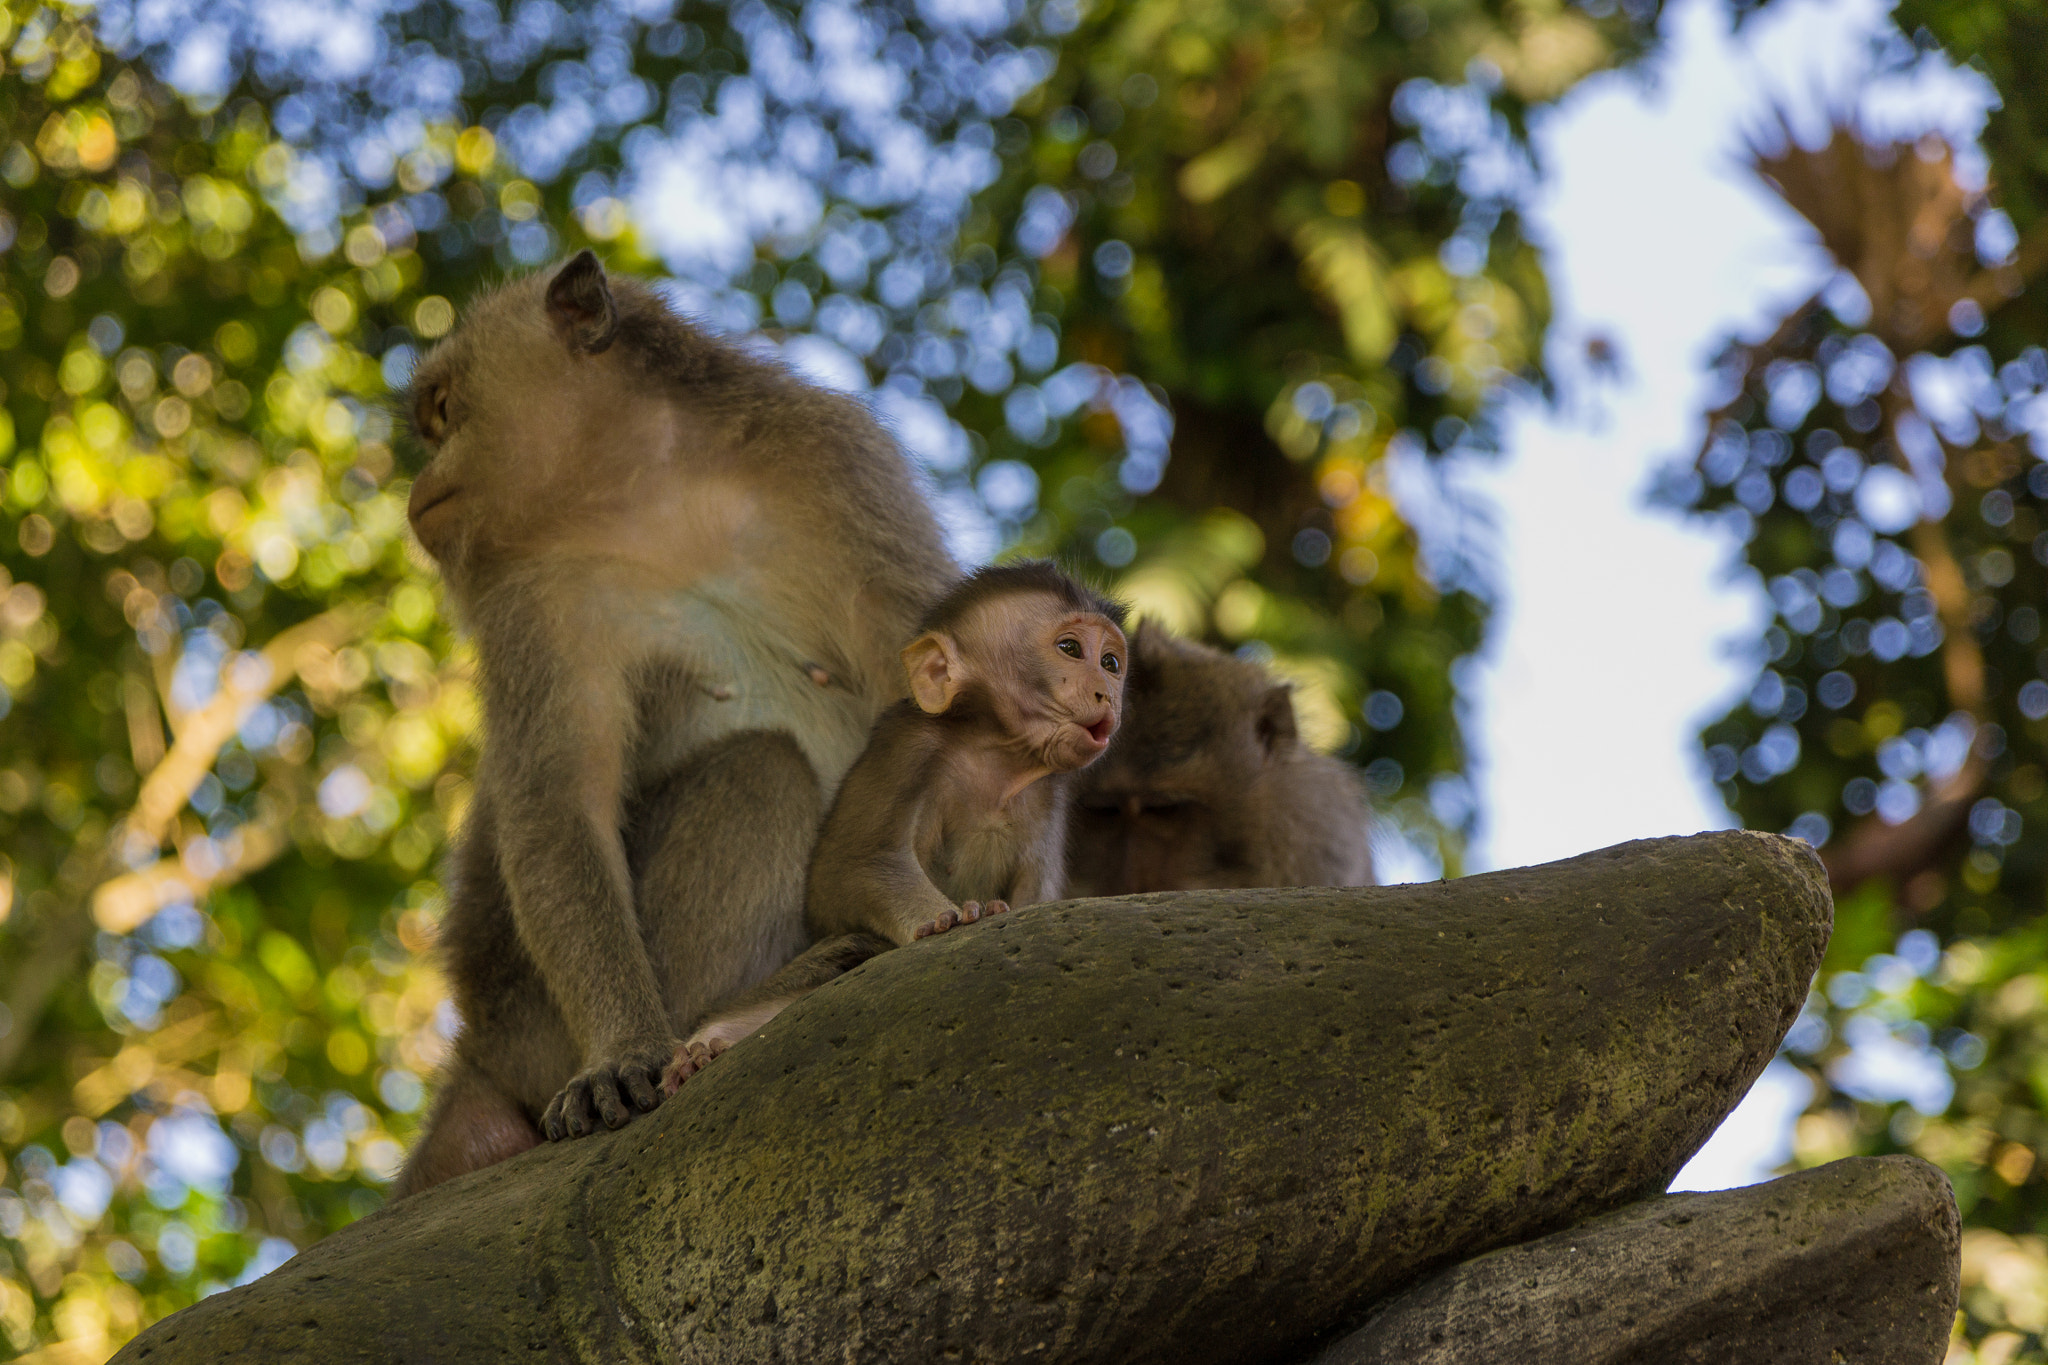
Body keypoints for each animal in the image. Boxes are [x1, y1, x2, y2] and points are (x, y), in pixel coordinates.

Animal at [390, 251, 957, 1197]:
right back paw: (732, 1015)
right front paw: (627, 1048)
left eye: (442, 412)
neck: (648, 495)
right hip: (532, 1020)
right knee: (762, 767)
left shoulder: (836, 460)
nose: (414, 488)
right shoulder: (530, 601)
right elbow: (560, 807)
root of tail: (481, 1051)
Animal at [661, 562, 1127, 1087]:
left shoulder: (1049, 797)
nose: (1106, 692)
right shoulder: (907, 748)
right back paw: (710, 1043)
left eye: (1110, 662)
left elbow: (1037, 899)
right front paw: (947, 917)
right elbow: (847, 872)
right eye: (1070, 649)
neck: (995, 757)